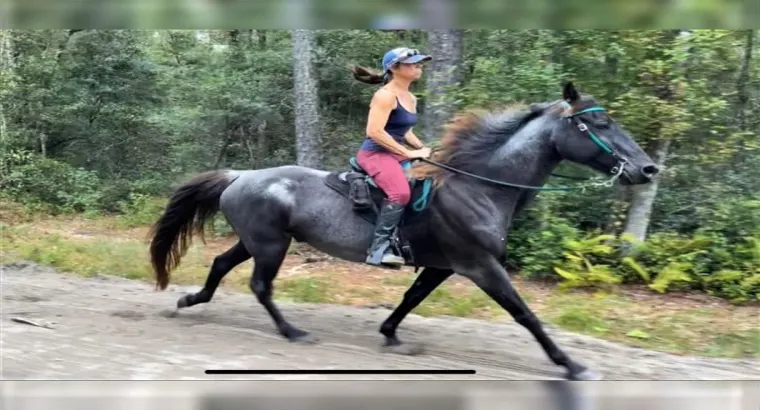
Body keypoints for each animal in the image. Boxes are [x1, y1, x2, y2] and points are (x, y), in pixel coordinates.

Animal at [148, 82, 659, 380]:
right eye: (599, 121)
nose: (648, 169)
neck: (479, 187)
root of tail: (241, 175)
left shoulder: (443, 266)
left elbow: (412, 299)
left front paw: (391, 334)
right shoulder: (479, 265)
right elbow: (525, 314)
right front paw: (570, 364)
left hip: (256, 240)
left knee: (221, 264)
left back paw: (190, 301)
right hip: (271, 245)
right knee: (260, 286)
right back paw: (292, 332)